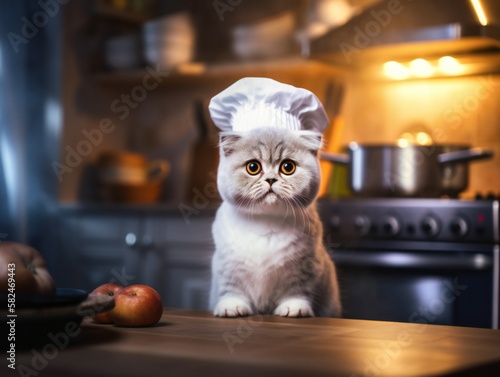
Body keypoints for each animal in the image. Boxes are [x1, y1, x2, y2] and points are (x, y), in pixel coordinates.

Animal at [209, 128, 342, 316]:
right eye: (253, 167)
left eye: (287, 167)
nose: (271, 179)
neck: (265, 222)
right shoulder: (227, 264)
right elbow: (230, 287)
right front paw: (232, 306)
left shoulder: (306, 265)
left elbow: (299, 289)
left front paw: (294, 307)